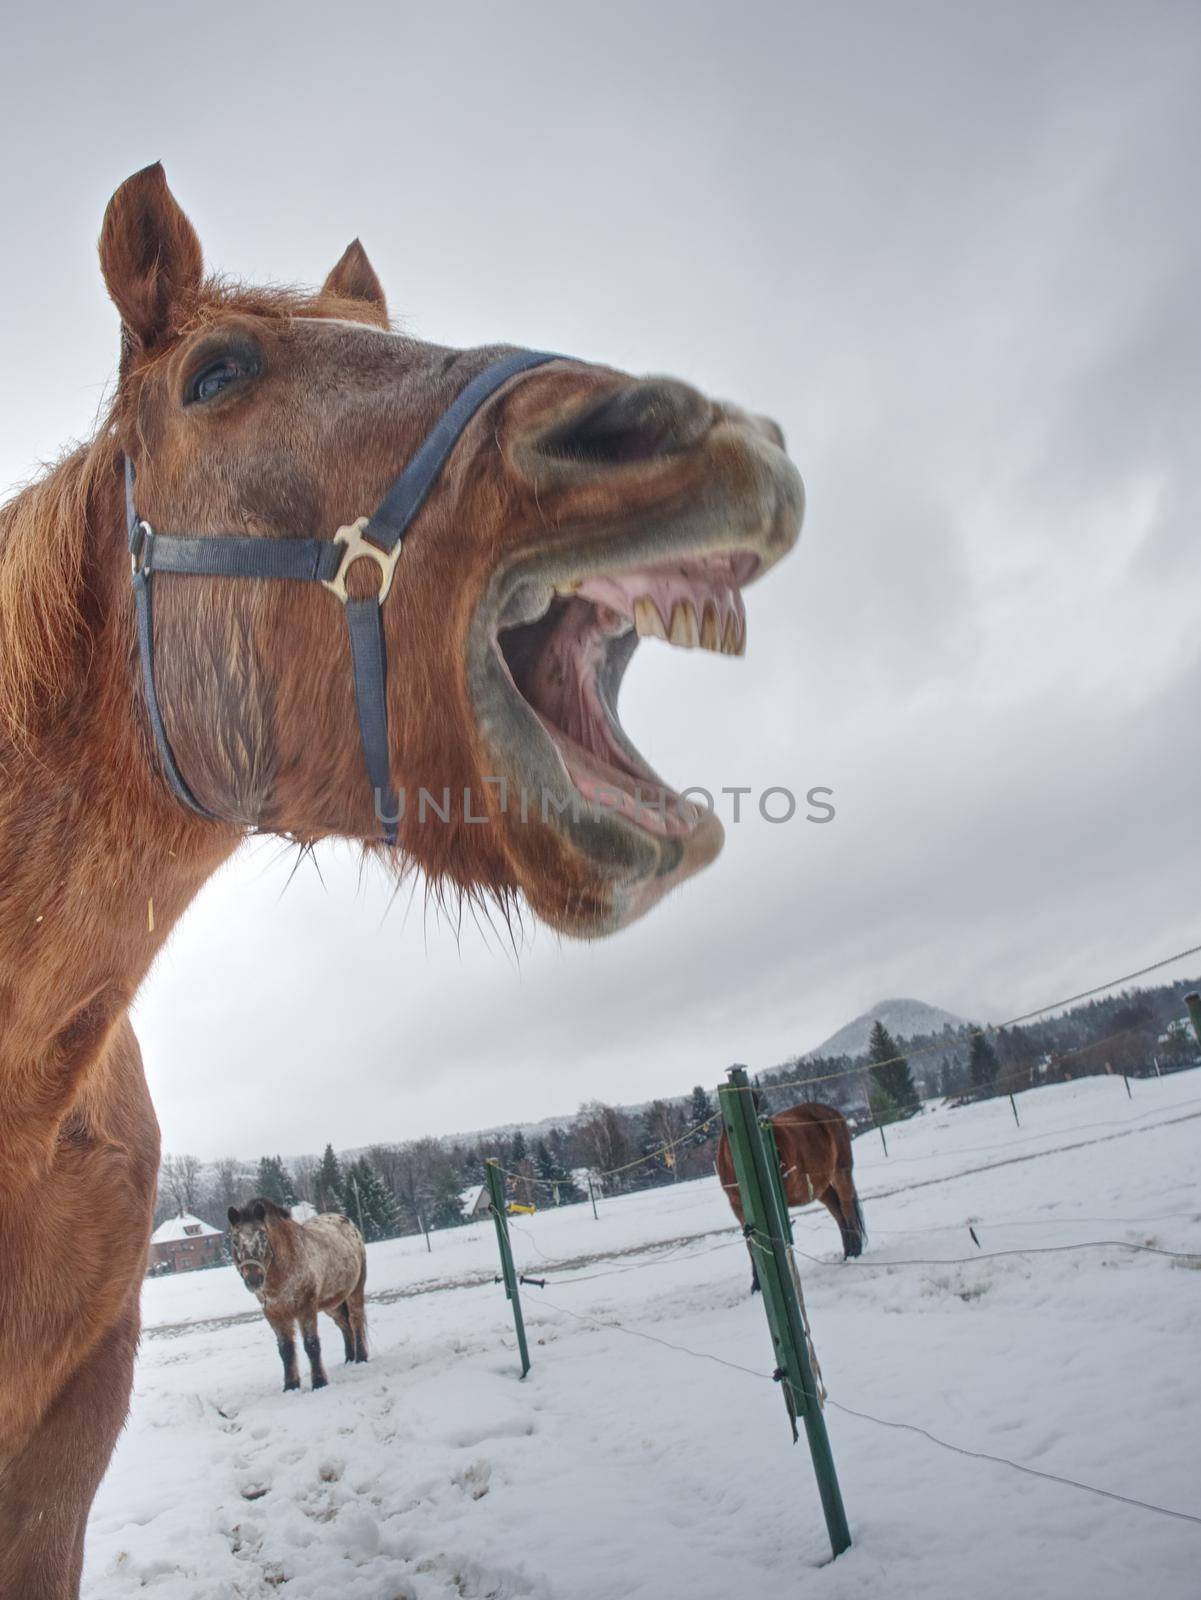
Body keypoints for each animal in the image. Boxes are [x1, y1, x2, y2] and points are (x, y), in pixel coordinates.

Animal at [227, 1203, 366, 1388]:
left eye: (263, 1237)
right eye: (235, 1241)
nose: (253, 1279)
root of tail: (347, 1222)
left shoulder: (305, 1307)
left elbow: (311, 1344)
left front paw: (319, 1382)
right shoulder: (274, 1314)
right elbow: (286, 1350)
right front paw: (291, 1386)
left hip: (355, 1289)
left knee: (355, 1319)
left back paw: (361, 1358)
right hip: (332, 1303)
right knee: (344, 1324)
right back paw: (349, 1359)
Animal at [719, 1100, 869, 1286]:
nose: (777, 1161)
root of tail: (833, 1112)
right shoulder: (738, 1209)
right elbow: (751, 1244)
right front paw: (757, 1285)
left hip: (841, 1172)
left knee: (846, 1208)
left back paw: (854, 1253)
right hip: (821, 1187)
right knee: (838, 1213)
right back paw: (848, 1252)